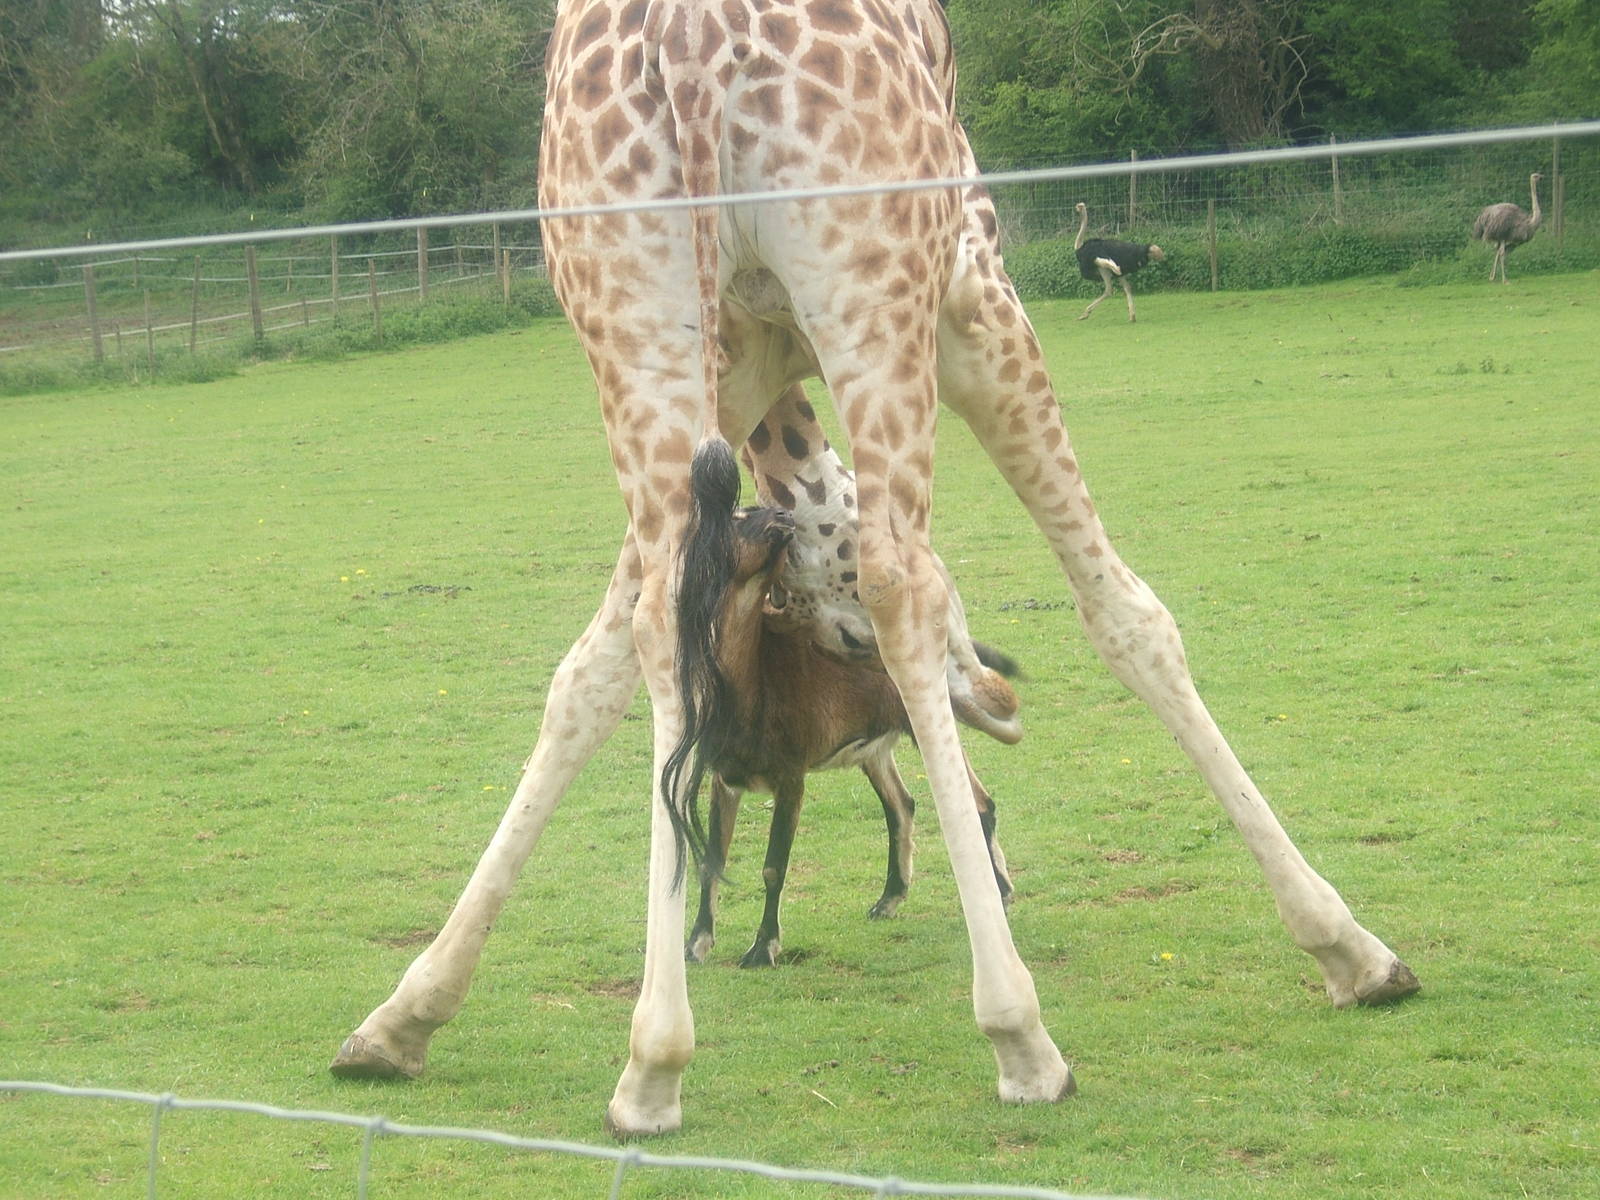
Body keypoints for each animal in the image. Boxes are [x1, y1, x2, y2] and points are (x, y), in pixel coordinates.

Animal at [684, 505, 1015, 968]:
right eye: (740, 514)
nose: (783, 514)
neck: (751, 685)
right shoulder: (724, 775)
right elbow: (711, 861)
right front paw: (695, 944)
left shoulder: (790, 771)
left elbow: (773, 866)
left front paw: (763, 948)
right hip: (873, 747)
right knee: (901, 804)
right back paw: (887, 901)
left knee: (979, 802)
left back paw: (1000, 896)